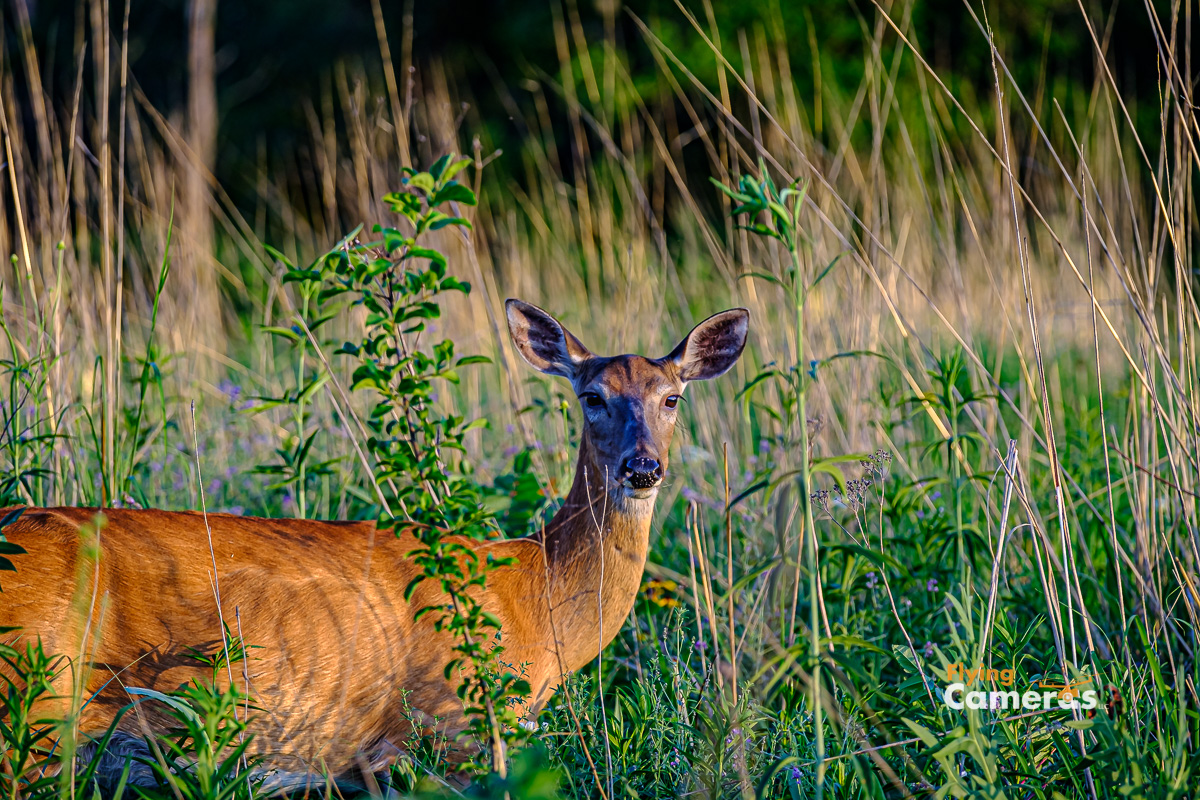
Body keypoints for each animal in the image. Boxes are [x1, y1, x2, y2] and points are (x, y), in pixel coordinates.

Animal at [0, 298, 744, 786]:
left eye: (673, 397)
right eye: (592, 396)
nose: (643, 468)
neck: (534, 593)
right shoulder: (451, 729)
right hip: (31, 709)